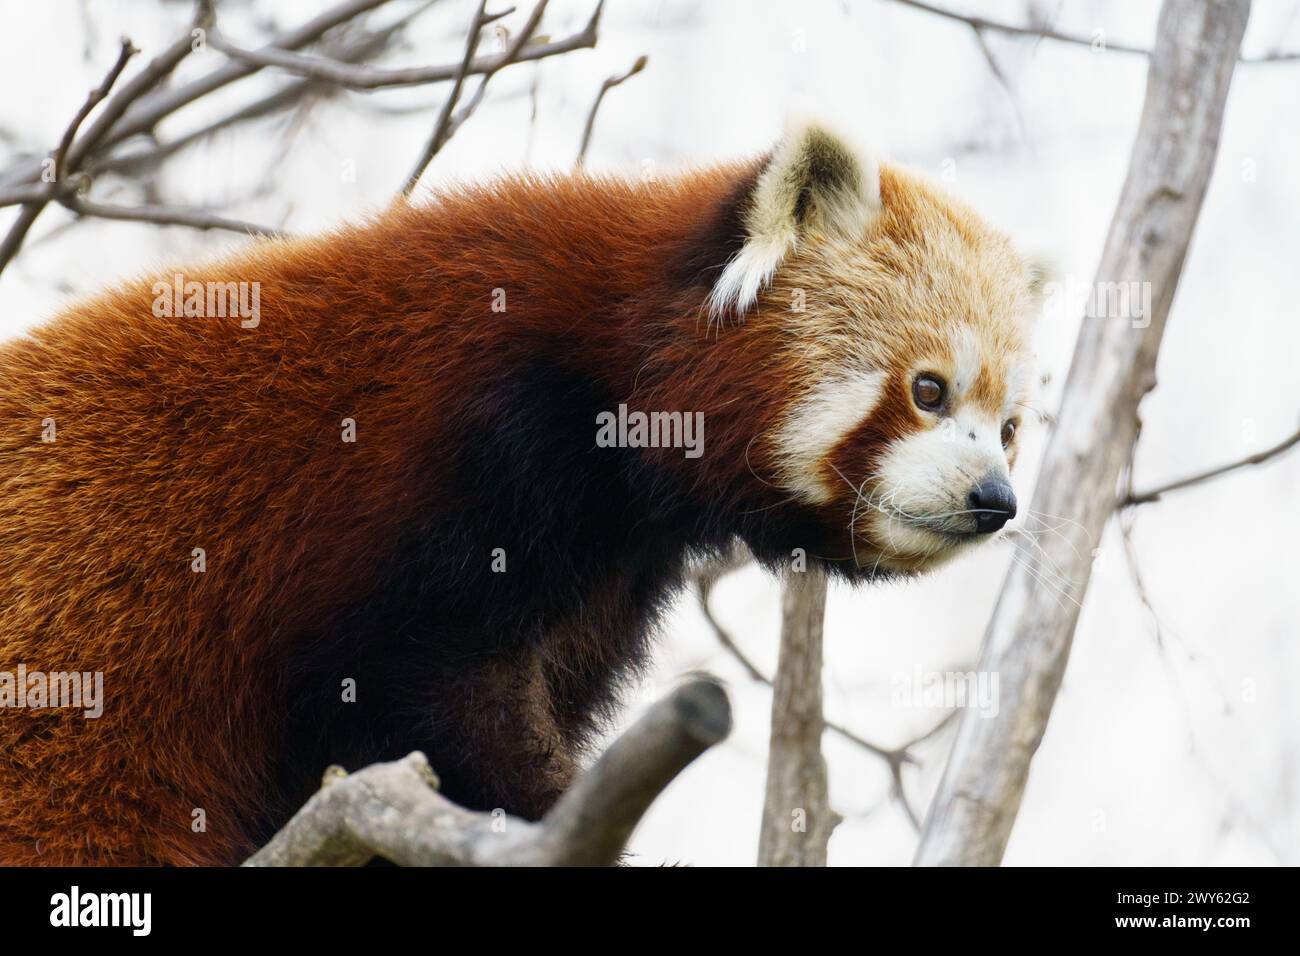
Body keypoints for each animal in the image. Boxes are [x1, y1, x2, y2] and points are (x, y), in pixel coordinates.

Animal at [0, 123, 1034, 863]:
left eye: (1012, 427)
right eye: (929, 390)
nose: (997, 499)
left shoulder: (608, 575)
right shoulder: (454, 451)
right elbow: (427, 697)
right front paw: (552, 819)